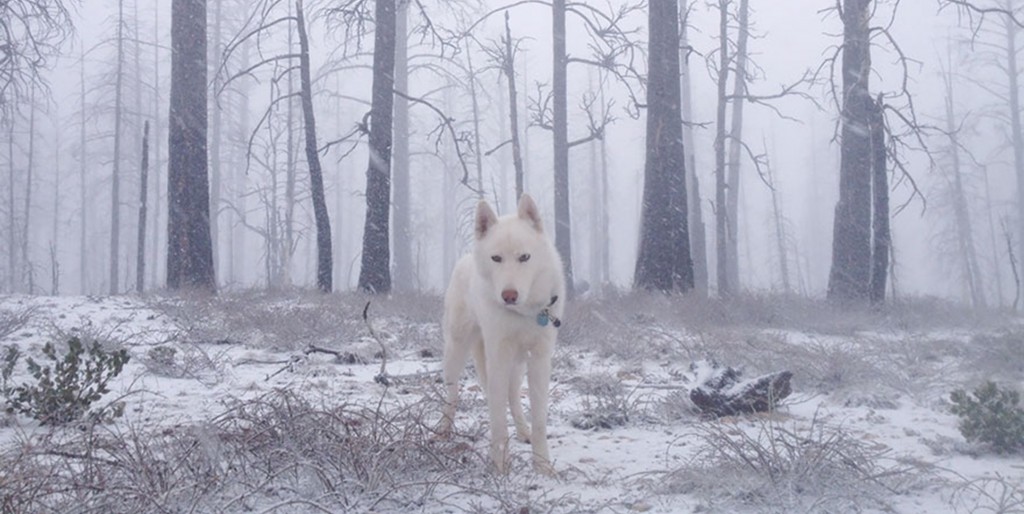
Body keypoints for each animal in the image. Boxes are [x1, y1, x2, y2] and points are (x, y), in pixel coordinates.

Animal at [438, 193, 569, 473]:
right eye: (496, 258)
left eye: (525, 257)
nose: (509, 295)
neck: (524, 312)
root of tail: (465, 258)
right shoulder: (498, 357)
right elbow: (497, 418)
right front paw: (499, 465)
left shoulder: (539, 360)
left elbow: (539, 419)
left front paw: (542, 466)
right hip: (456, 353)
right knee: (453, 396)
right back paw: (443, 430)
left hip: (517, 365)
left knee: (513, 398)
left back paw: (523, 431)